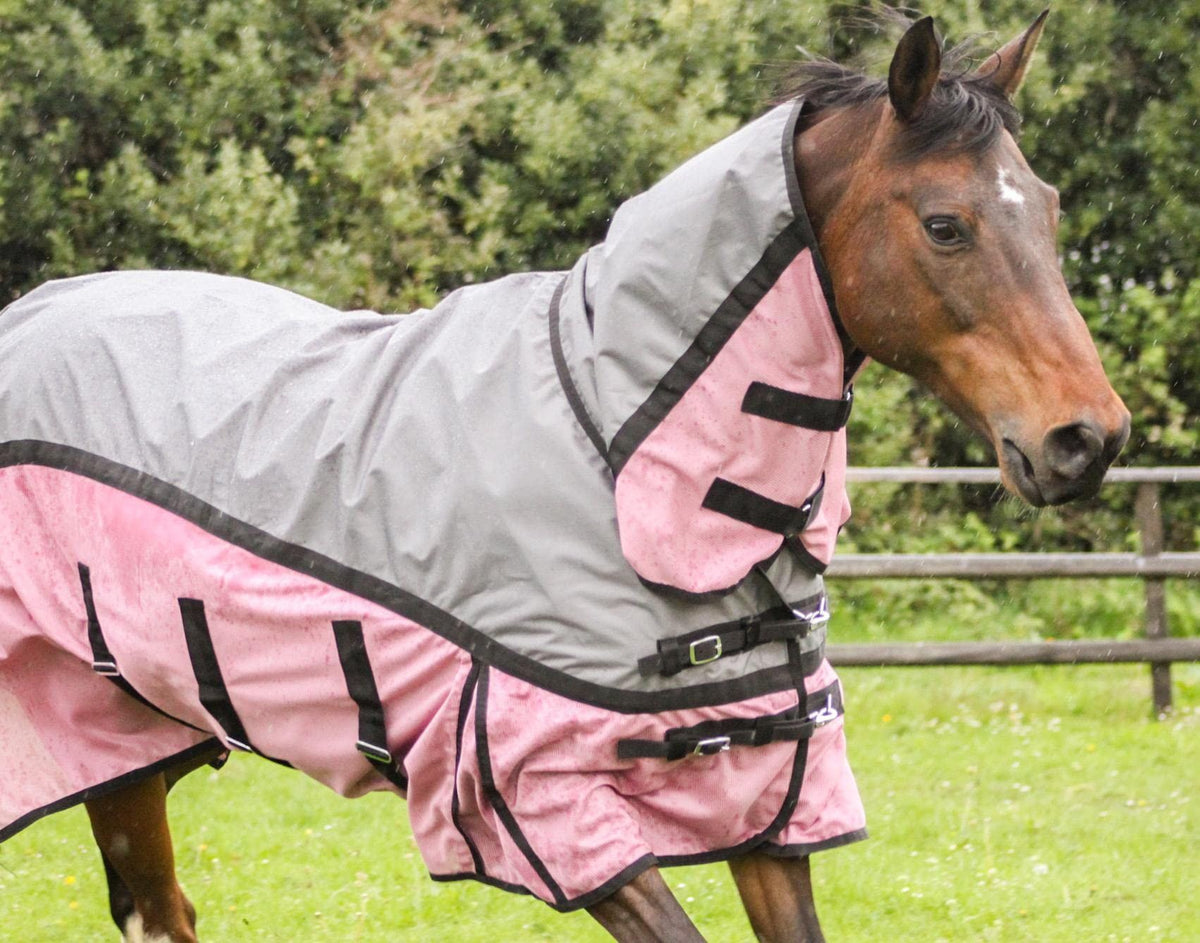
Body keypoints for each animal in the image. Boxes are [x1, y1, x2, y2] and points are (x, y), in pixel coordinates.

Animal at [0, 10, 1129, 942]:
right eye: (944, 224)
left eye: (1051, 211)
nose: (1089, 438)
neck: (615, 452)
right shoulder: (543, 805)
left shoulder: (773, 793)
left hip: (125, 744)